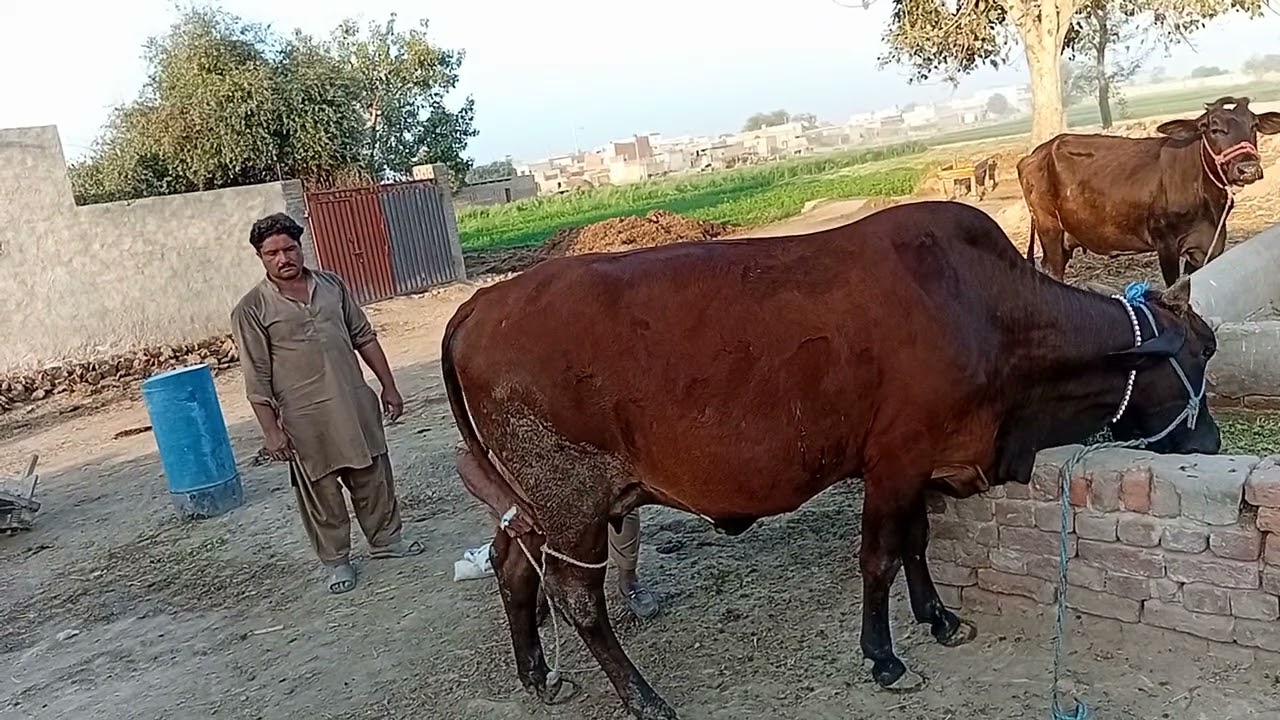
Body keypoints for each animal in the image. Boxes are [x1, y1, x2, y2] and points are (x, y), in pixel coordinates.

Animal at [442, 201, 1221, 720]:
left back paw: (538, 674)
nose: (1212, 440)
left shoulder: (922, 464)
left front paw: (938, 617)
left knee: (514, 567)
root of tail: (481, 303)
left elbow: (916, 543)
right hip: (572, 503)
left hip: (537, 504)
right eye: (1201, 353)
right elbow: (879, 557)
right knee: (575, 598)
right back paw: (644, 697)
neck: (988, 310)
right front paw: (885, 656)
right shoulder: (895, 461)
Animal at [1018, 96, 1280, 287]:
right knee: (1052, 270)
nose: (1247, 168)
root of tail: (1036, 153)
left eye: (1254, 125)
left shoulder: (1208, 246)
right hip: (1049, 228)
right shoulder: (1166, 243)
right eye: (1213, 129)